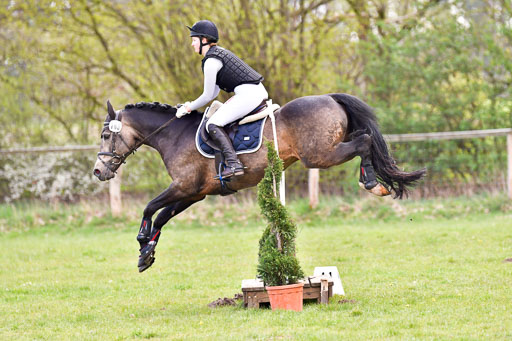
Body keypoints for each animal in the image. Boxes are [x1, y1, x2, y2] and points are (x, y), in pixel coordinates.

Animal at [92, 93, 424, 270]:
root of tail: (331, 98)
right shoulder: (194, 193)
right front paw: (146, 253)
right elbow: (162, 216)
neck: (173, 135)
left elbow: (150, 208)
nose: (98, 171)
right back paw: (375, 181)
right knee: (364, 139)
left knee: (365, 141)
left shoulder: (184, 187)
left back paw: (371, 182)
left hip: (320, 155)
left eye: (106, 135)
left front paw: (141, 241)